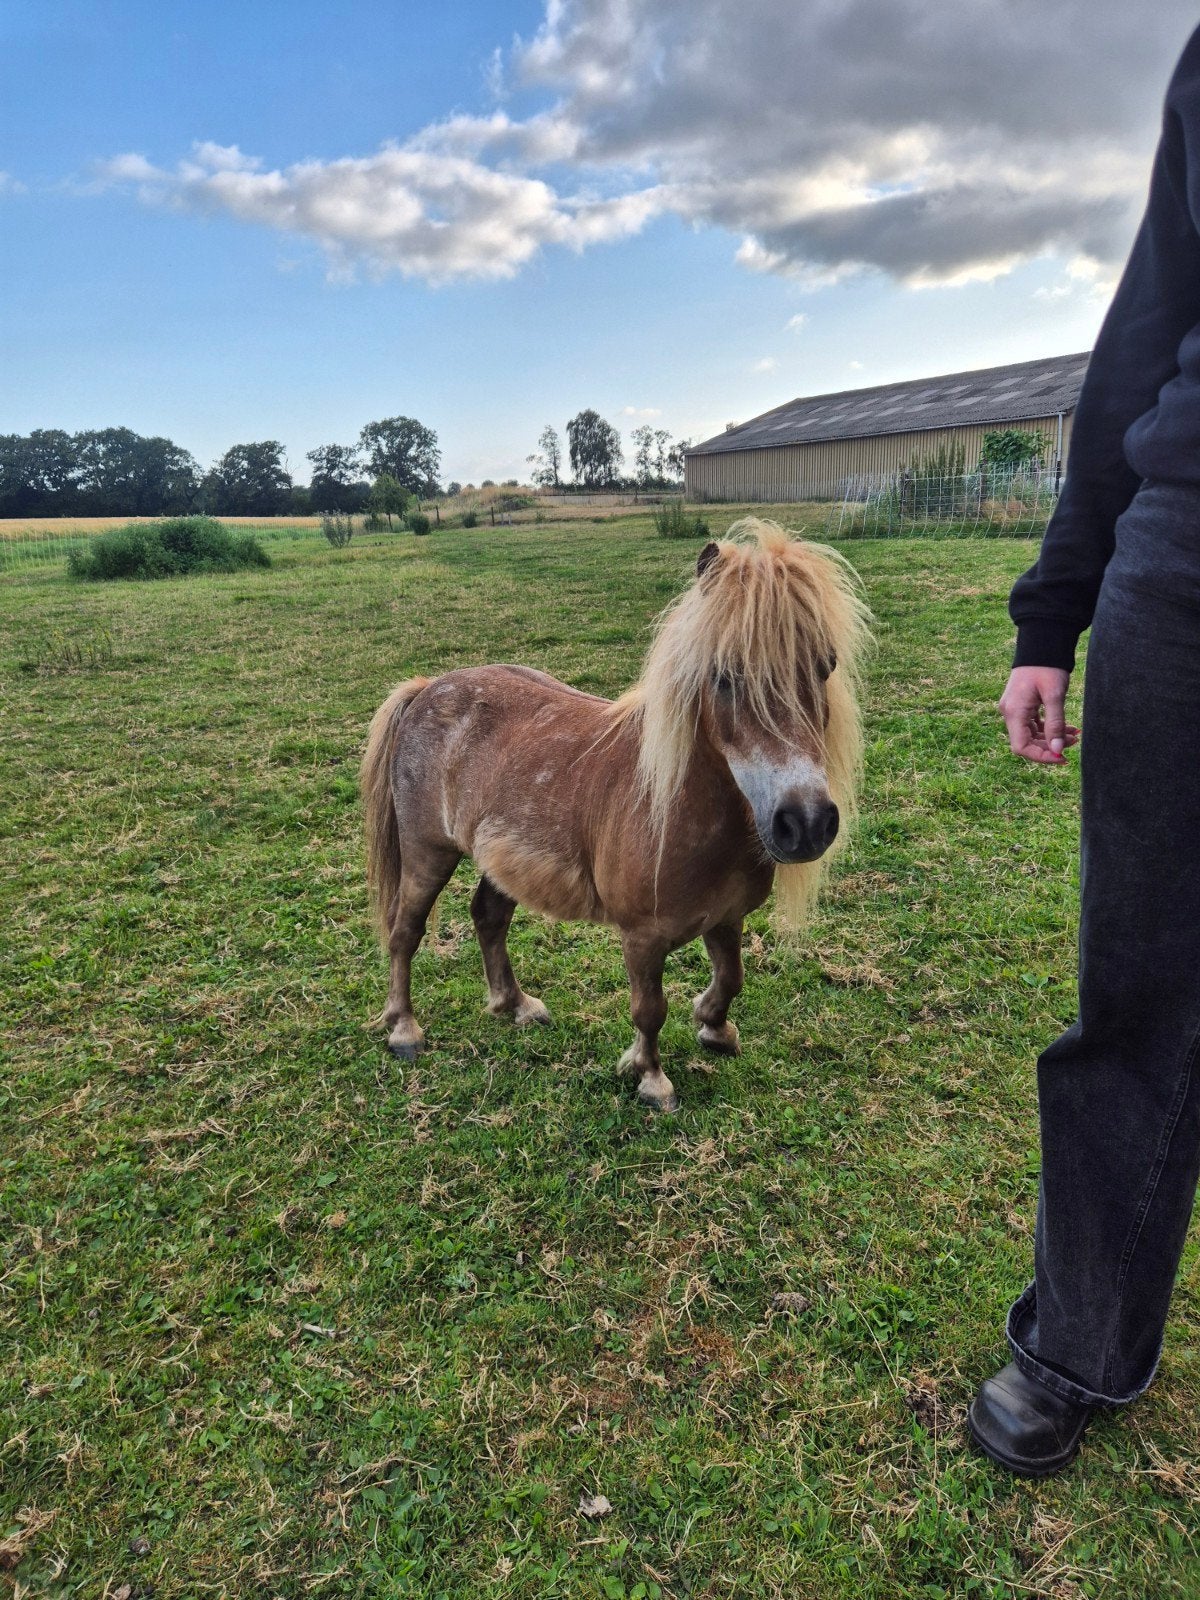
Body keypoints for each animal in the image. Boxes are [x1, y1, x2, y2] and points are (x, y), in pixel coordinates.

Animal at [360, 517, 870, 1111]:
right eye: (724, 676)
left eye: (826, 666)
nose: (806, 824)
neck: (676, 812)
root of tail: (425, 689)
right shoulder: (642, 939)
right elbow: (649, 1010)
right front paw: (650, 1078)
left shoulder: (726, 918)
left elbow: (731, 979)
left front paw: (714, 1029)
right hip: (427, 855)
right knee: (405, 932)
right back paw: (404, 1030)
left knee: (489, 917)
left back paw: (516, 1006)